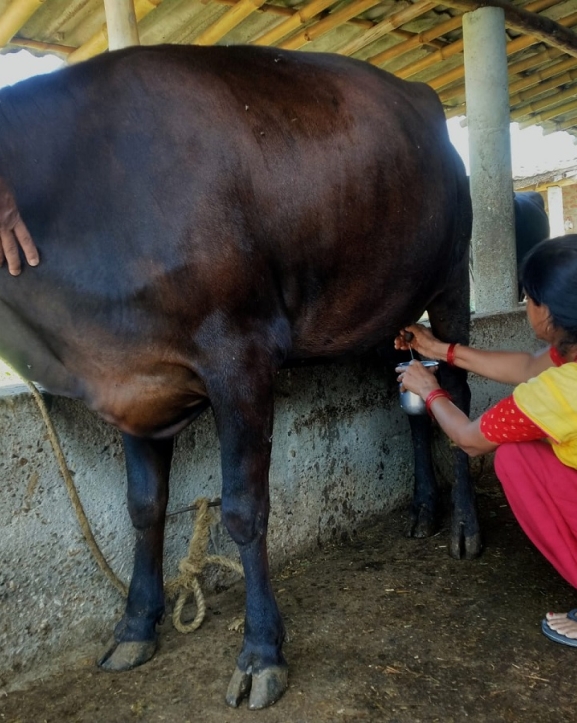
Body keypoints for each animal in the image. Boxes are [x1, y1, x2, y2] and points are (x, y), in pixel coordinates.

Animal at [0, 43, 472, 708]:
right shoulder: (135, 378)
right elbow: (143, 507)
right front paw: (135, 627)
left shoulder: (239, 355)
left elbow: (244, 510)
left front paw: (261, 653)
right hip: (382, 302)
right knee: (411, 393)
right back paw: (424, 511)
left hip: (451, 277)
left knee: (456, 389)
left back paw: (463, 528)